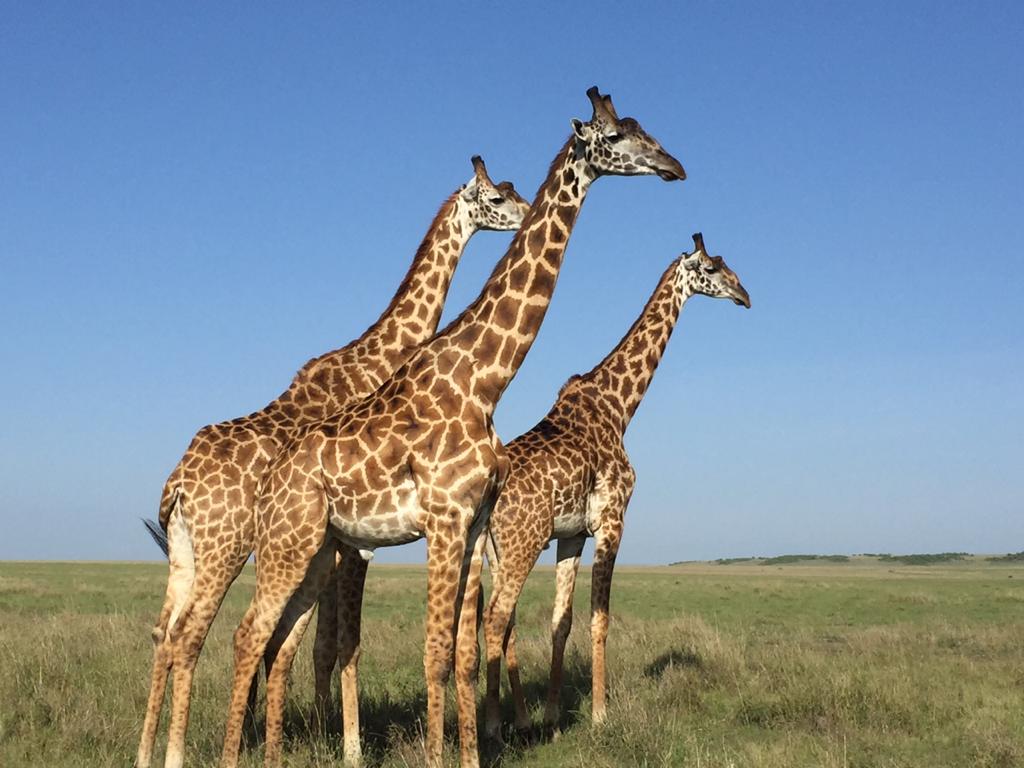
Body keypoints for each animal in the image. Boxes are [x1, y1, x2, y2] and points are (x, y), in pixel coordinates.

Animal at [134, 156, 529, 768]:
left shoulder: (337, 542)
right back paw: (177, 753)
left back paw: (148, 751)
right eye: (496, 197)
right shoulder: (354, 543)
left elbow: (310, 642)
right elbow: (338, 642)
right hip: (226, 546)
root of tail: (175, 484)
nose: (528, 212)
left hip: (187, 551)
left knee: (163, 632)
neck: (375, 360)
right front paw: (346, 744)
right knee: (191, 636)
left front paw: (311, 733)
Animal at [217, 86, 686, 768]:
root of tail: (271, 481)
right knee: (247, 636)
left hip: (318, 549)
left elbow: (464, 652)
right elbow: (436, 653)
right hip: (288, 542)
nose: (675, 166)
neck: (485, 383)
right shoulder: (443, 520)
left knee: (275, 641)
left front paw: (472, 748)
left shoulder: (472, 526)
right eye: (616, 135)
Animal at [480, 233, 750, 740]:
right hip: (522, 543)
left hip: (493, 550)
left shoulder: (571, 535)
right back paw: (490, 725)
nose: (745, 295)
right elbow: (599, 619)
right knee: (495, 619)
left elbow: (561, 621)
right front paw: (601, 714)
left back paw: (519, 717)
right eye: (711, 268)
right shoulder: (612, 520)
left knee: (499, 624)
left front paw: (553, 716)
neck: (619, 406)